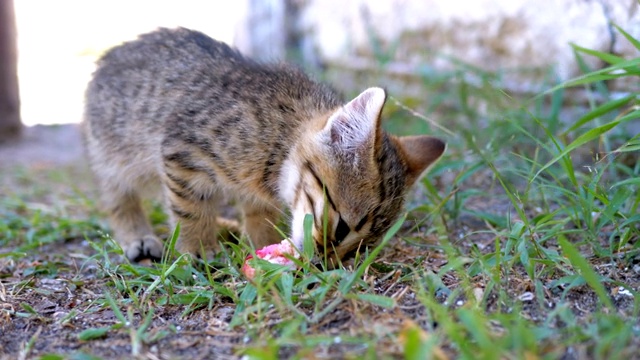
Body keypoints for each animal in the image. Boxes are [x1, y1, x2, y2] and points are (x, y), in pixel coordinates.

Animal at [82, 28, 444, 262]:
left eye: (364, 247)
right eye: (342, 229)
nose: (324, 265)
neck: (278, 138)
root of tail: (111, 54)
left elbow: (258, 215)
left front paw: (264, 244)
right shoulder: (182, 156)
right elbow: (190, 209)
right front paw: (198, 248)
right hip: (114, 155)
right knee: (118, 197)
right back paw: (138, 236)